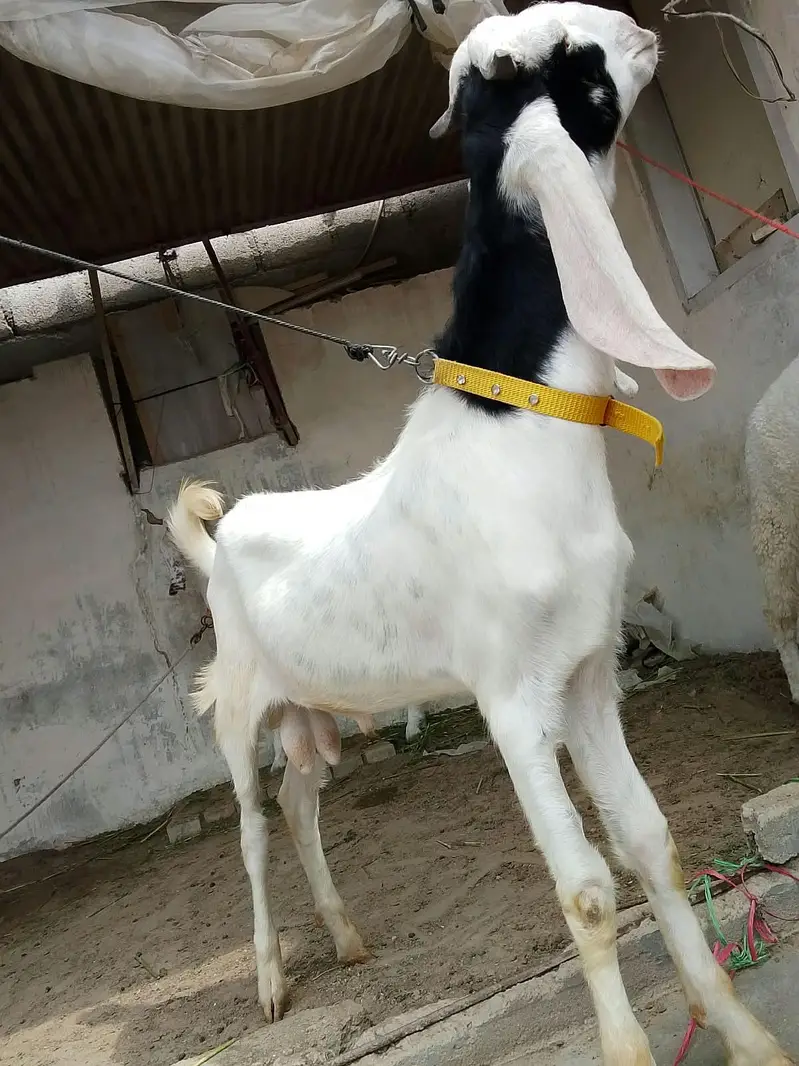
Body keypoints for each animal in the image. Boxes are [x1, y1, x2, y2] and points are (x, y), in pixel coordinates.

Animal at [168, 5, 791, 1063]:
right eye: (567, 55)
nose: (636, 28)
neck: (521, 425)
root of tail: (223, 534)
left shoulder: (584, 672)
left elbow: (649, 839)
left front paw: (744, 1033)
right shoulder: (510, 698)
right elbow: (585, 891)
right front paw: (627, 1048)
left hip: (310, 706)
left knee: (297, 805)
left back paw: (345, 938)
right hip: (242, 705)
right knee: (250, 829)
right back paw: (269, 981)